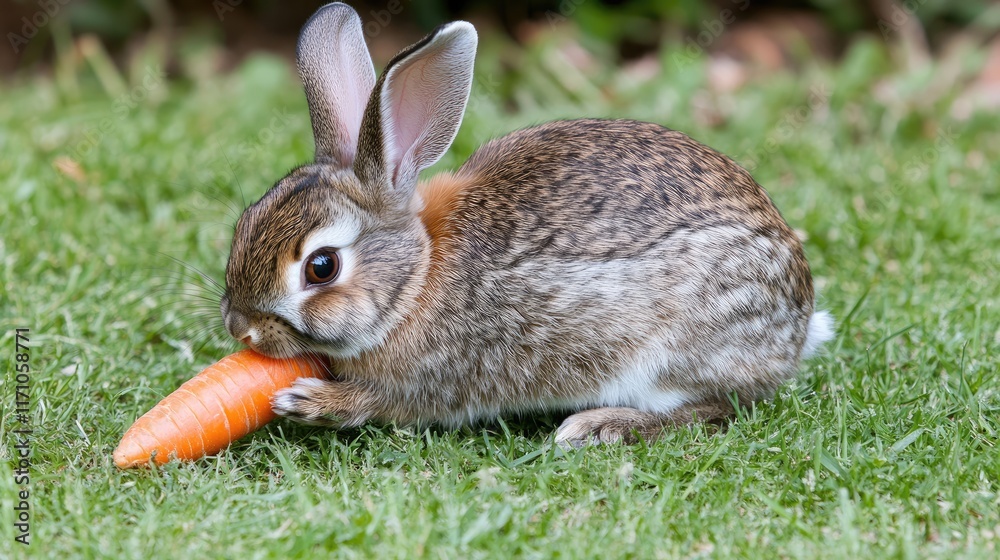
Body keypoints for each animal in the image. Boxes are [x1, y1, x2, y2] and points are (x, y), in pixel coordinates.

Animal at [220, 2, 834, 447]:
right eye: (245, 220)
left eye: (321, 267)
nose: (241, 329)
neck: (416, 277)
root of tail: (798, 325)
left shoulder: (440, 377)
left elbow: (389, 403)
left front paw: (308, 403)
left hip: (678, 347)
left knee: (718, 406)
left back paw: (599, 426)